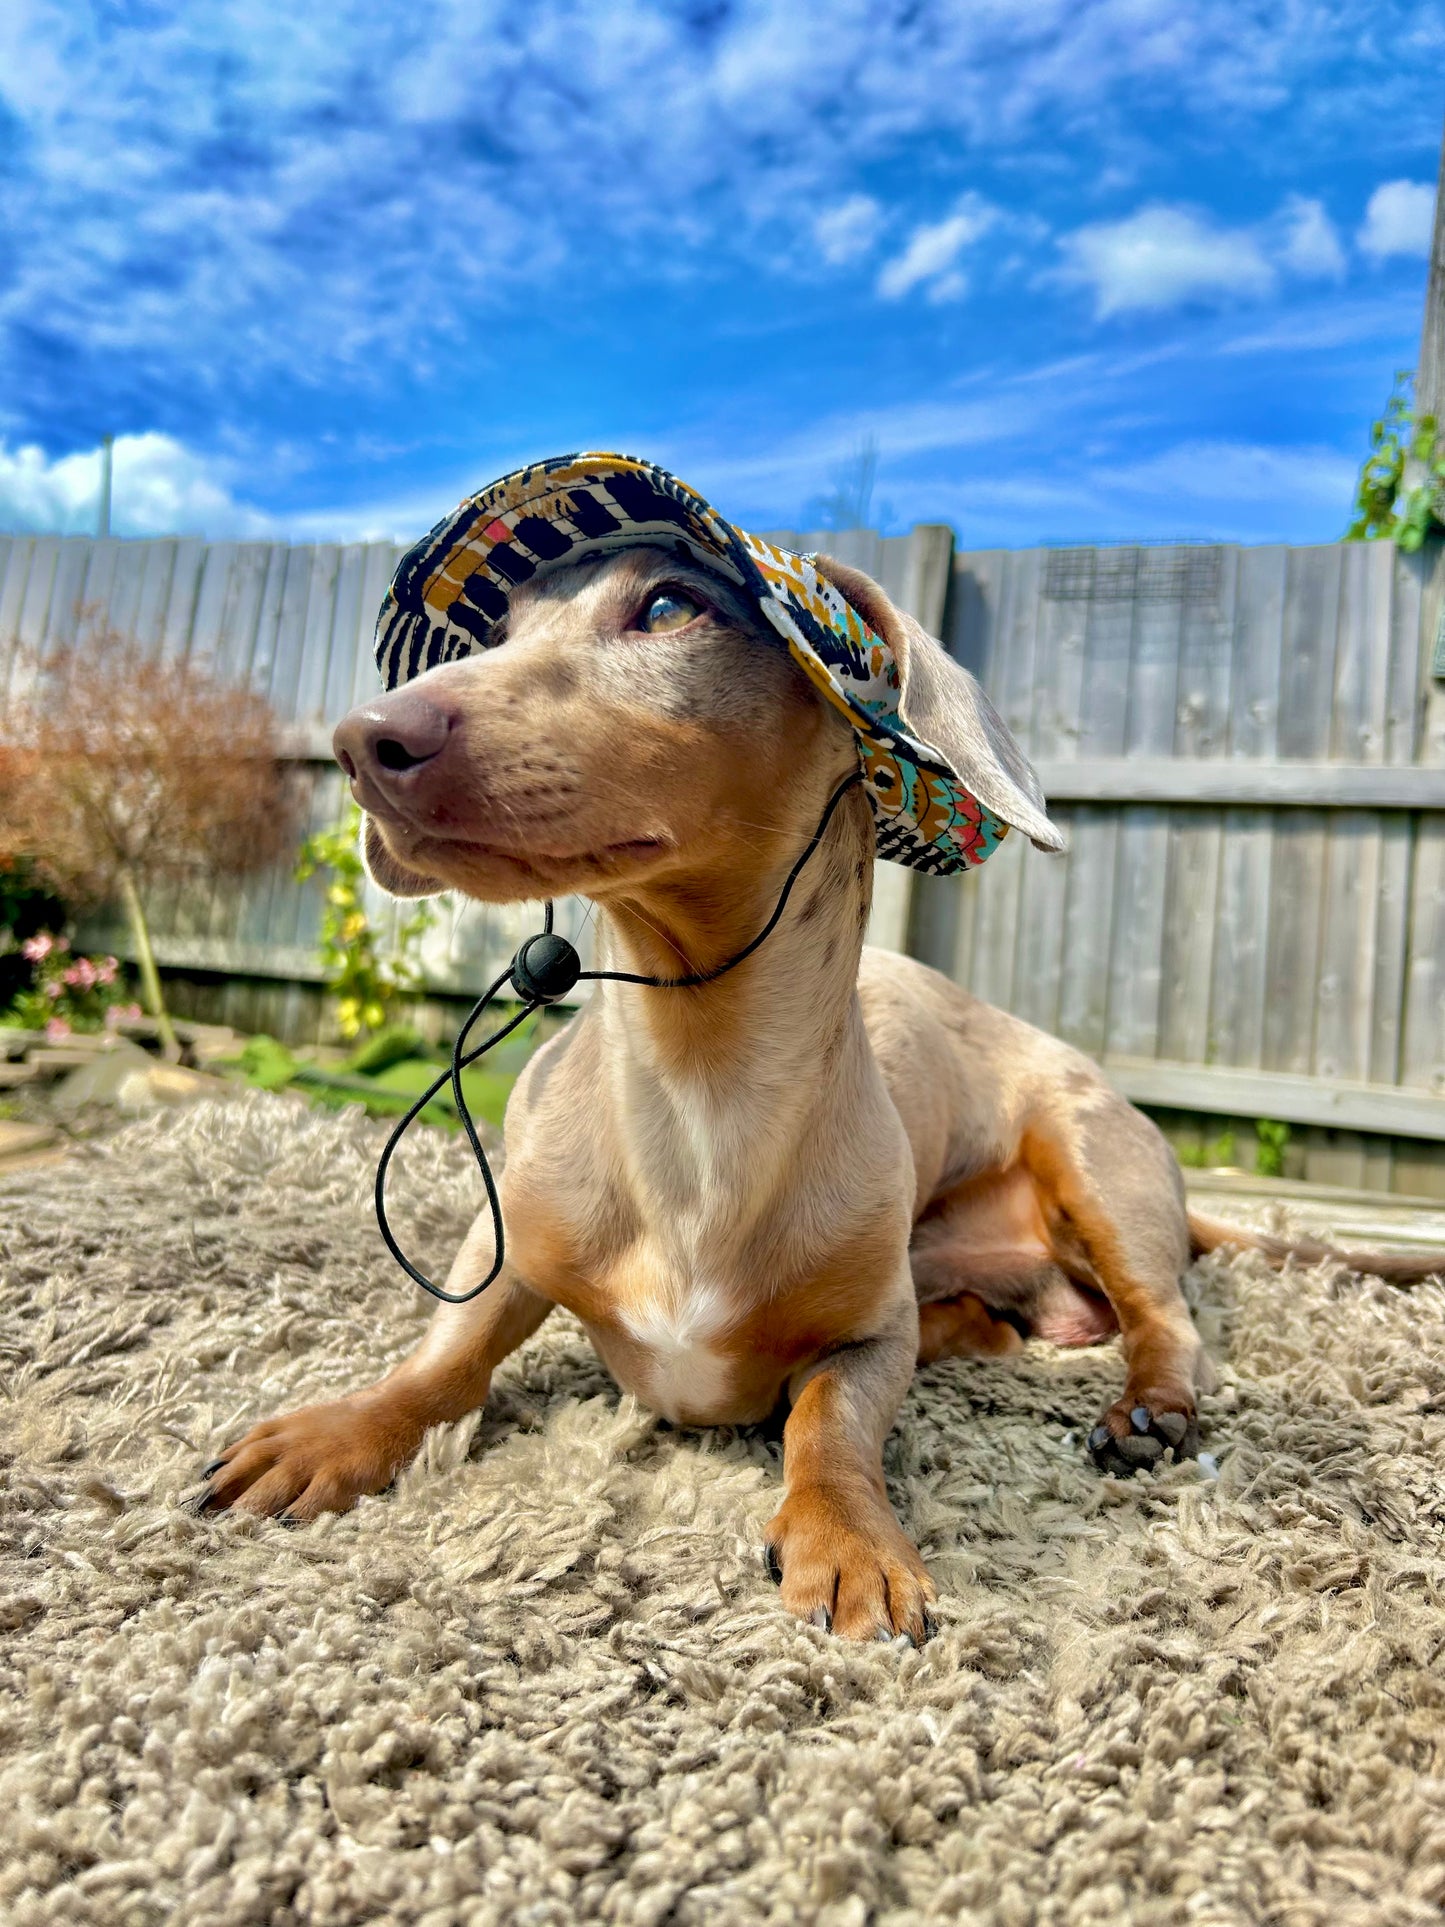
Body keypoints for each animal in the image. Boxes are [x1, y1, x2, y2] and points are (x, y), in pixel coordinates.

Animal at [201, 539, 1441, 1641]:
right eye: (500, 631)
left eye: (669, 605)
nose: (363, 741)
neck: (695, 1084)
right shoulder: (501, 1251)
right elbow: (443, 1361)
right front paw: (336, 1432)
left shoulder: (867, 1341)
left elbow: (828, 1419)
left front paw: (845, 1537)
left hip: (1089, 1158)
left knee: (1163, 1319)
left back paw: (1148, 1407)